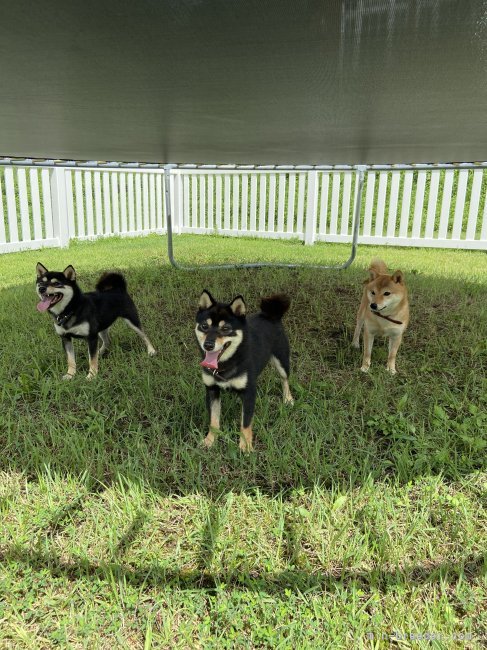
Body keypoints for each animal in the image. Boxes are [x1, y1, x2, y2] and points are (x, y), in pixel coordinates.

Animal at [195, 288, 294, 450]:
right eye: (204, 326)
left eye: (225, 328)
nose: (208, 345)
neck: (226, 363)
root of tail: (270, 314)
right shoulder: (212, 390)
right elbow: (214, 421)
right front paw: (210, 440)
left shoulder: (249, 394)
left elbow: (246, 423)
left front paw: (246, 446)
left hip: (282, 361)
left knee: (284, 379)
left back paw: (288, 399)